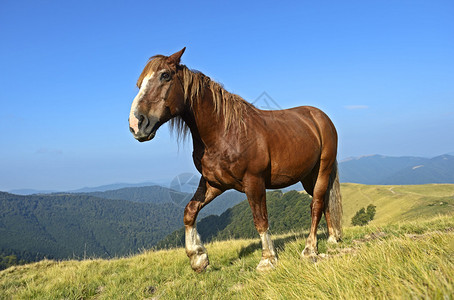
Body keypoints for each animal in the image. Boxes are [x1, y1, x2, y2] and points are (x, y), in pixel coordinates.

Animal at [127, 47, 340, 272]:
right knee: (324, 201)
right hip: (308, 176)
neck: (224, 132)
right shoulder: (214, 183)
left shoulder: (254, 181)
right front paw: (198, 257)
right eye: (140, 83)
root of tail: (319, 117)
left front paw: (268, 259)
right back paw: (333, 238)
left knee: (316, 204)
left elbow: (260, 220)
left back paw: (310, 249)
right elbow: (190, 211)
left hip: (323, 169)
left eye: (165, 75)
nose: (136, 124)